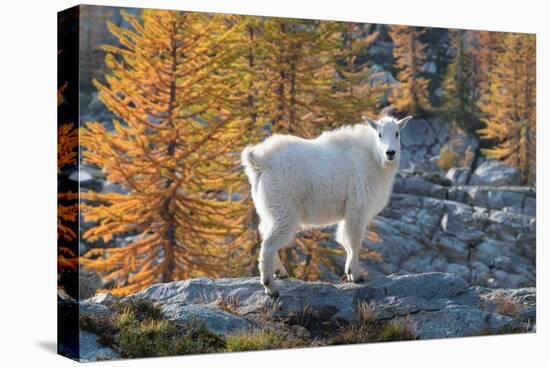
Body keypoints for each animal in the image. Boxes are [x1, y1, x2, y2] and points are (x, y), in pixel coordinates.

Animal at [243, 115, 414, 296]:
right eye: (379, 134)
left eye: (397, 133)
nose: (390, 153)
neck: (374, 158)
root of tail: (260, 162)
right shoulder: (358, 208)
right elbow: (354, 241)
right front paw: (357, 276)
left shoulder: (348, 213)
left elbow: (345, 241)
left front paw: (349, 273)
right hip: (284, 211)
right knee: (268, 246)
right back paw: (271, 287)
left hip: (270, 210)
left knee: (264, 234)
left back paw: (280, 272)